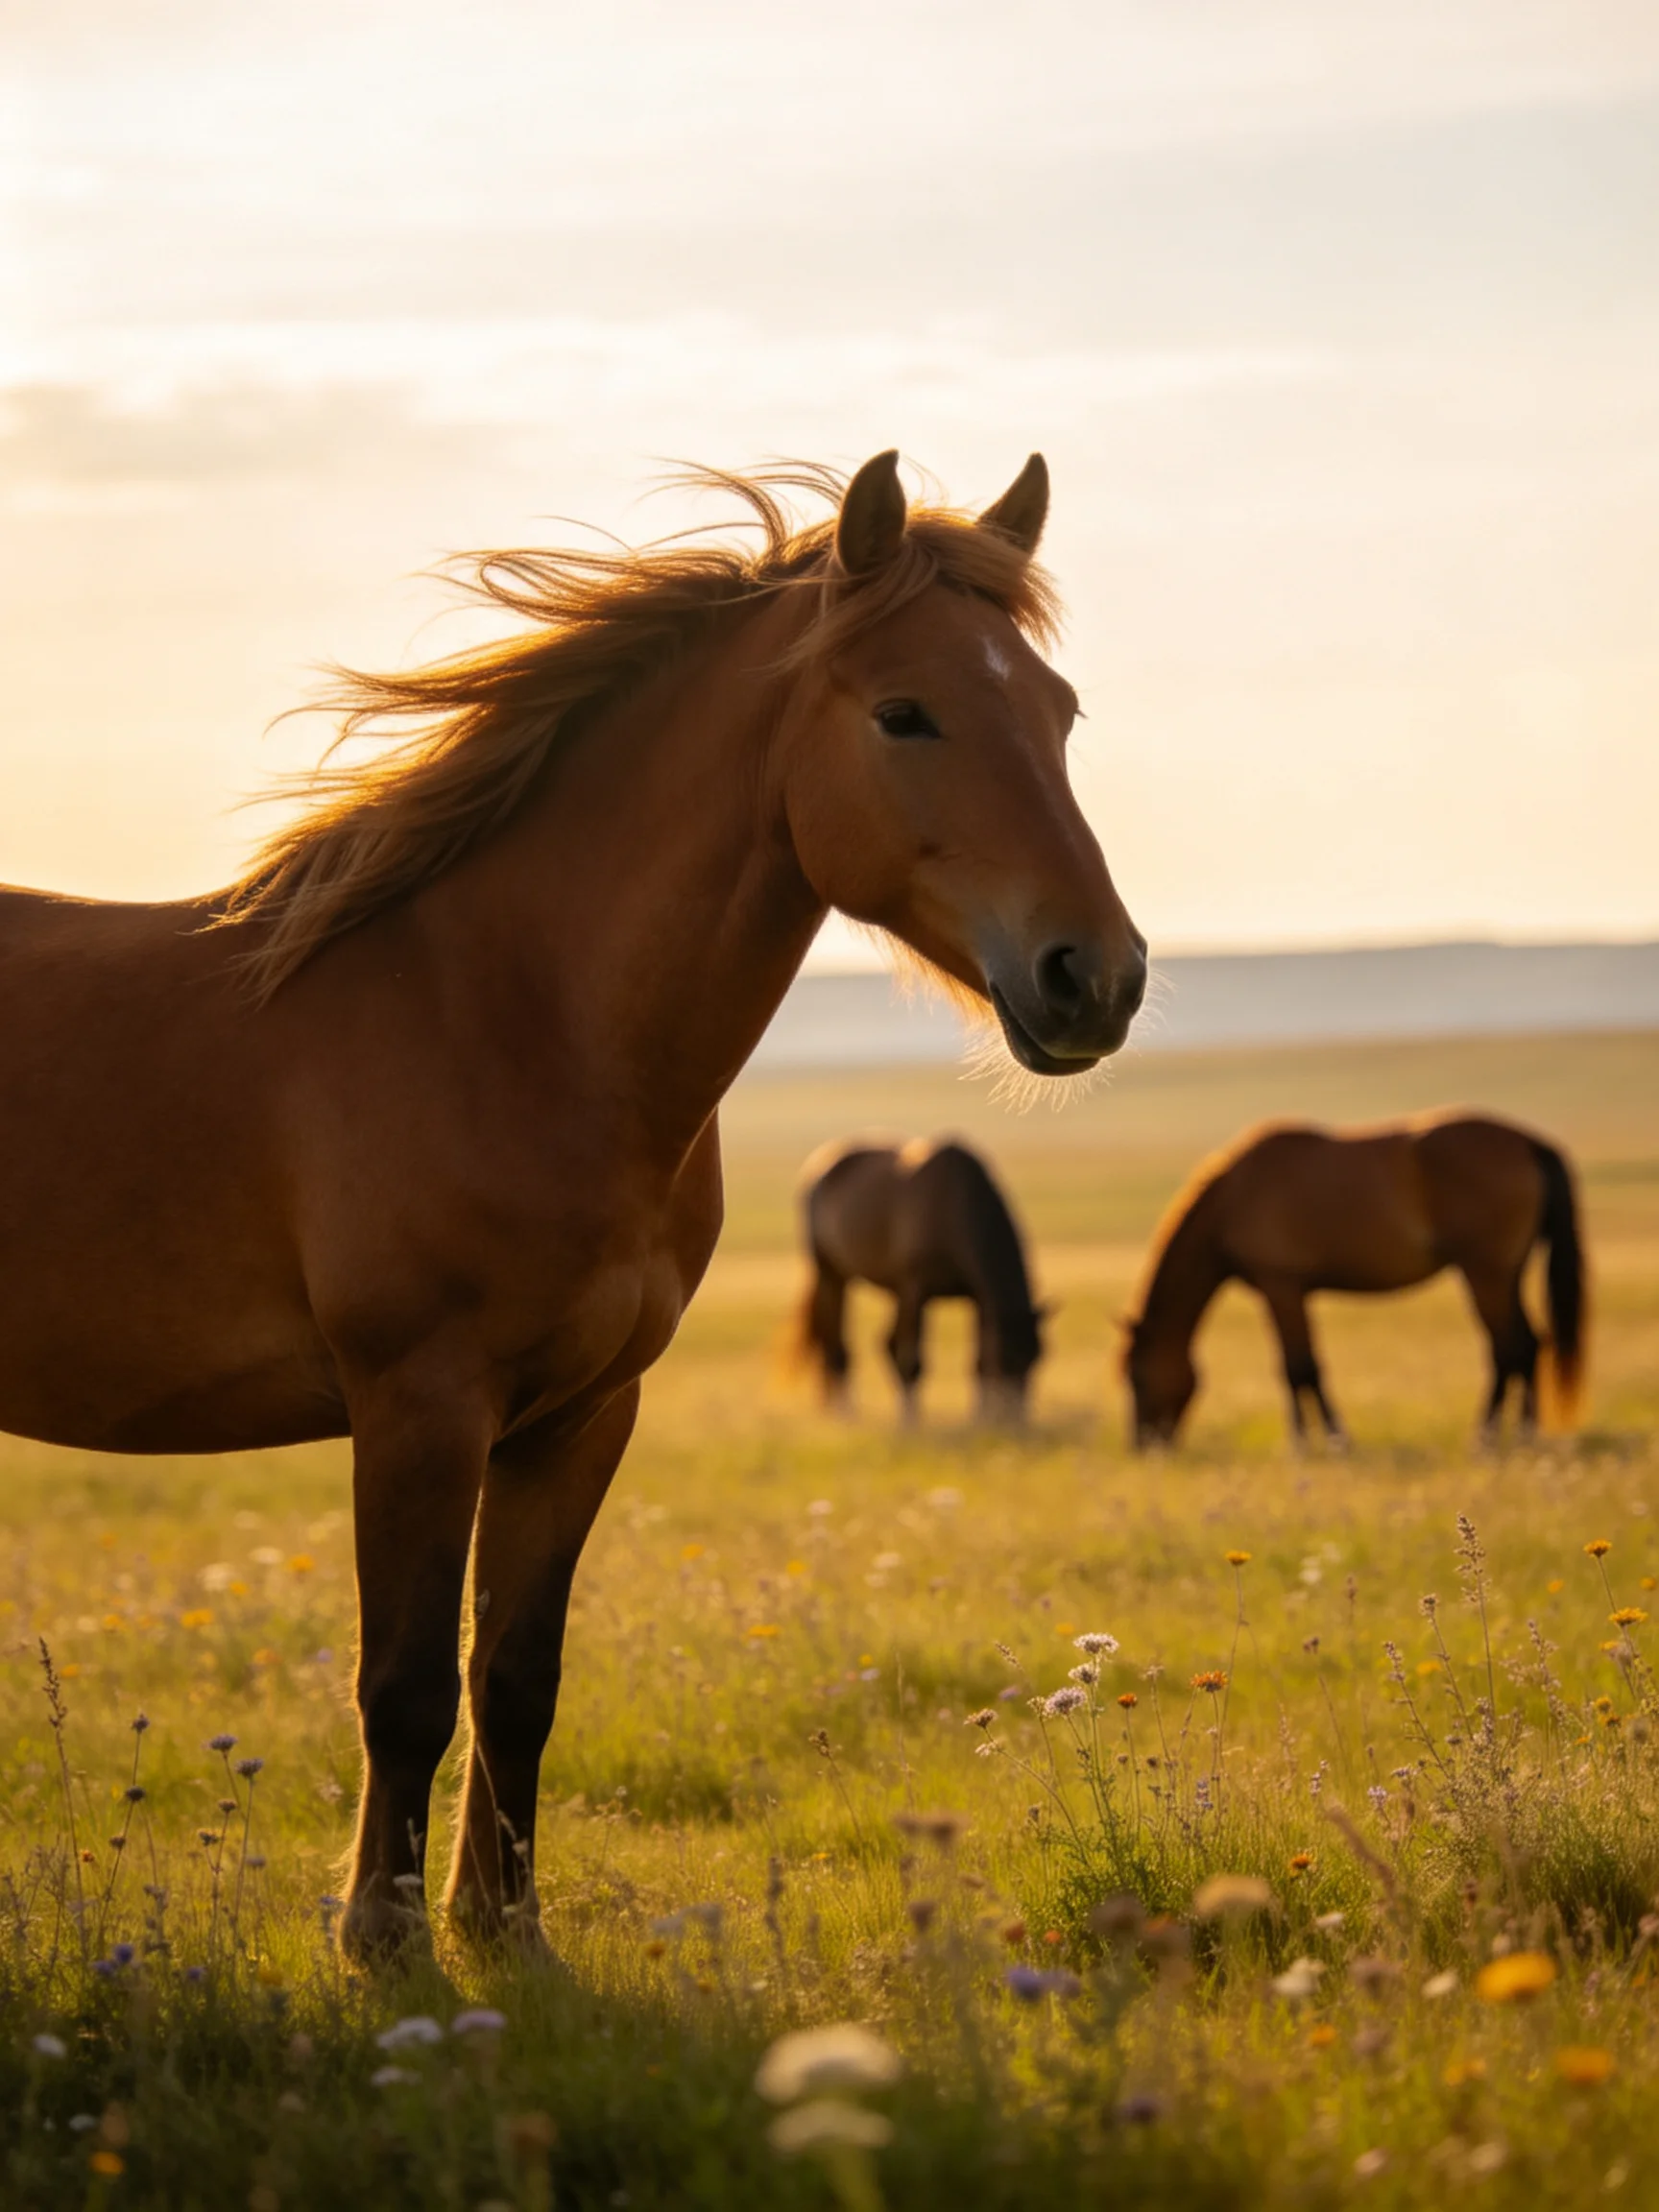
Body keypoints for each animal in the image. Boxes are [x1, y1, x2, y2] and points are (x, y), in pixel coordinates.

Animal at [796, 1137, 1045, 1424]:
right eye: (1008, 1357)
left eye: (1037, 1358)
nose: (1015, 1420)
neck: (953, 1206)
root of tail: (819, 1165)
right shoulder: (914, 1291)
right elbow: (911, 1362)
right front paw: (910, 1422)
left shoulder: (979, 1299)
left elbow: (978, 1361)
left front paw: (977, 1418)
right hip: (831, 1274)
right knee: (835, 1346)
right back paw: (845, 1413)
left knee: (884, 1343)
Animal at [1122, 1112, 1586, 1450]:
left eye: (1136, 1377)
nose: (1144, 1446)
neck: (1233, 1197)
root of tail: (1528, 1143)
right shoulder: (1288, 1291)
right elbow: (1299, 1366)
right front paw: (1318, 1438)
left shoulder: (1281, 1286)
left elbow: (1300, 1367)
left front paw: (1317, 1442)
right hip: (1509, 1272)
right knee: (1529, 1344)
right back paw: (1523, 1432)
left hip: (1485, 1272)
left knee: (1509, 1348)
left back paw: (1490, 1436)